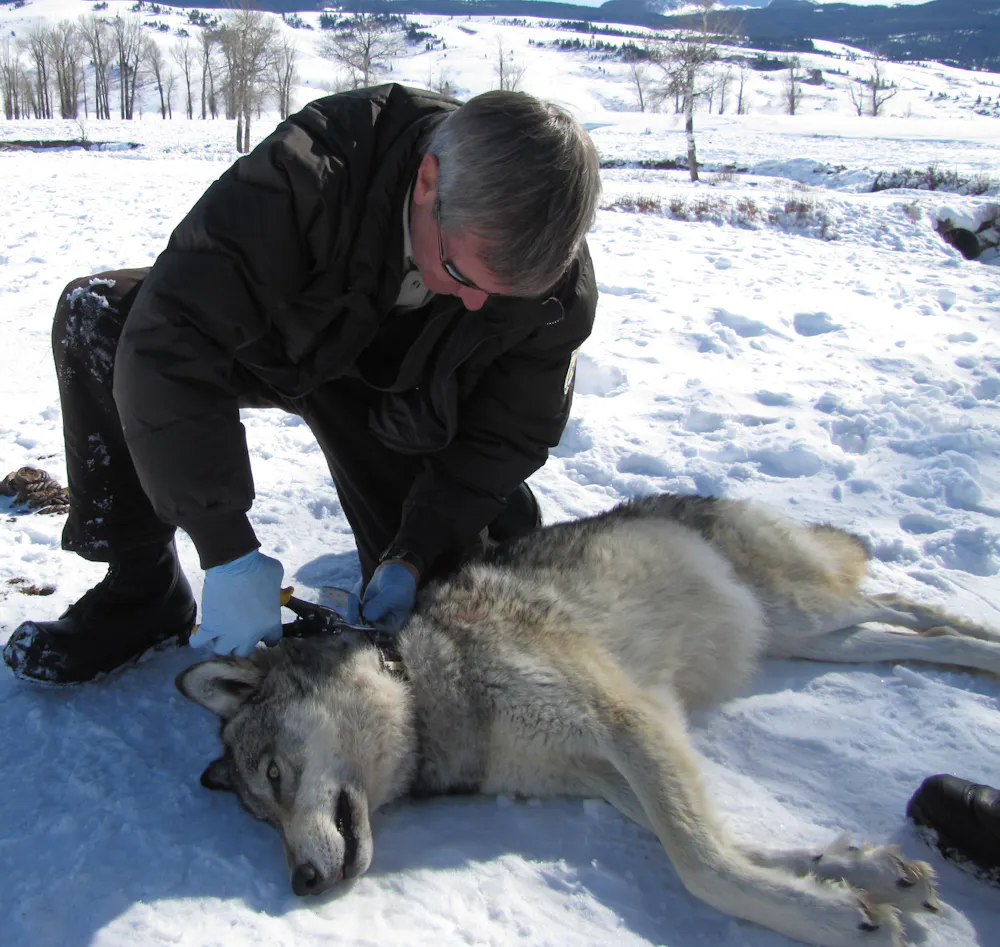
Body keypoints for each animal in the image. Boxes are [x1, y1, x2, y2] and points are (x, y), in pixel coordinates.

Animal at [177, 494, 1000, 947]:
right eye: (261, 818)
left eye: (277, 774)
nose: (303, 882)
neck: (428, 690)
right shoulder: (608, 773)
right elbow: (738, 843)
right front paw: (861, 875)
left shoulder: (630, 721)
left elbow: (703, 863)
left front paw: (827, 918)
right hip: (805, 635)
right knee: (902, 631)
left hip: (805, 611)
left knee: (913, 611)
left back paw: (985, 644)